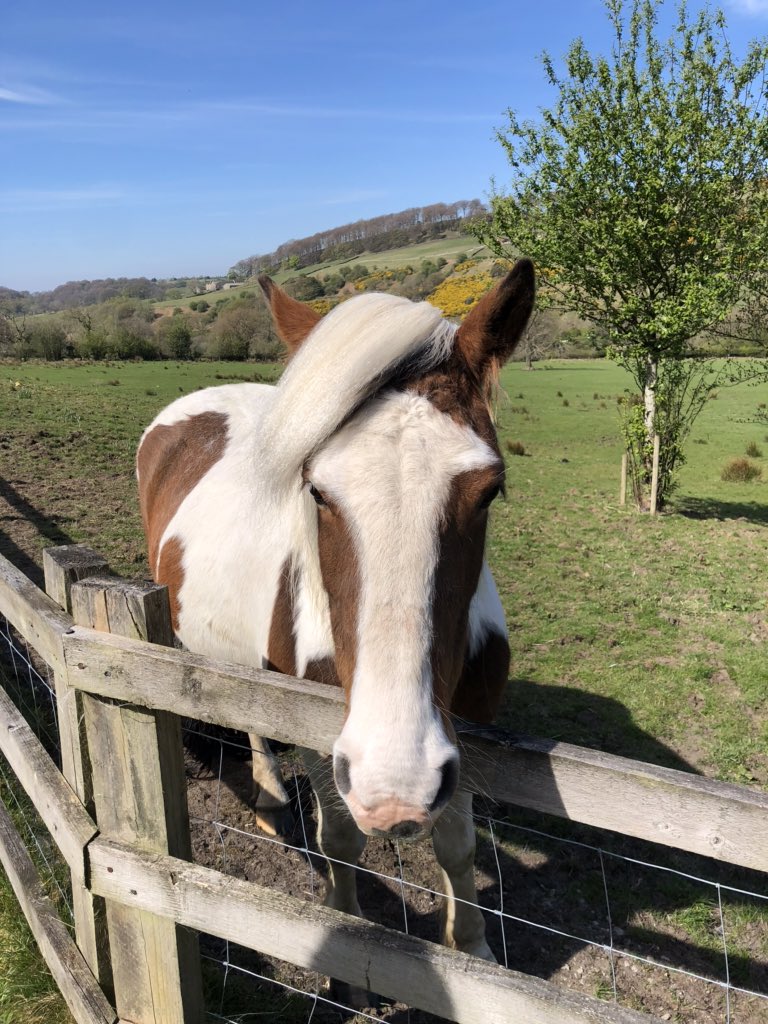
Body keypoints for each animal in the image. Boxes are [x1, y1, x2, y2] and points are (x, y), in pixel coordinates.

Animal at [136, 259, 534, 964]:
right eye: (317, 491)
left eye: (490, 490)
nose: (394, 788)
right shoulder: (323, 738)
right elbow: (343, 843)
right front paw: (347, 949)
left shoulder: (460, 744)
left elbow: (458, 849)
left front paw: (474, 948)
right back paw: (270, 795)